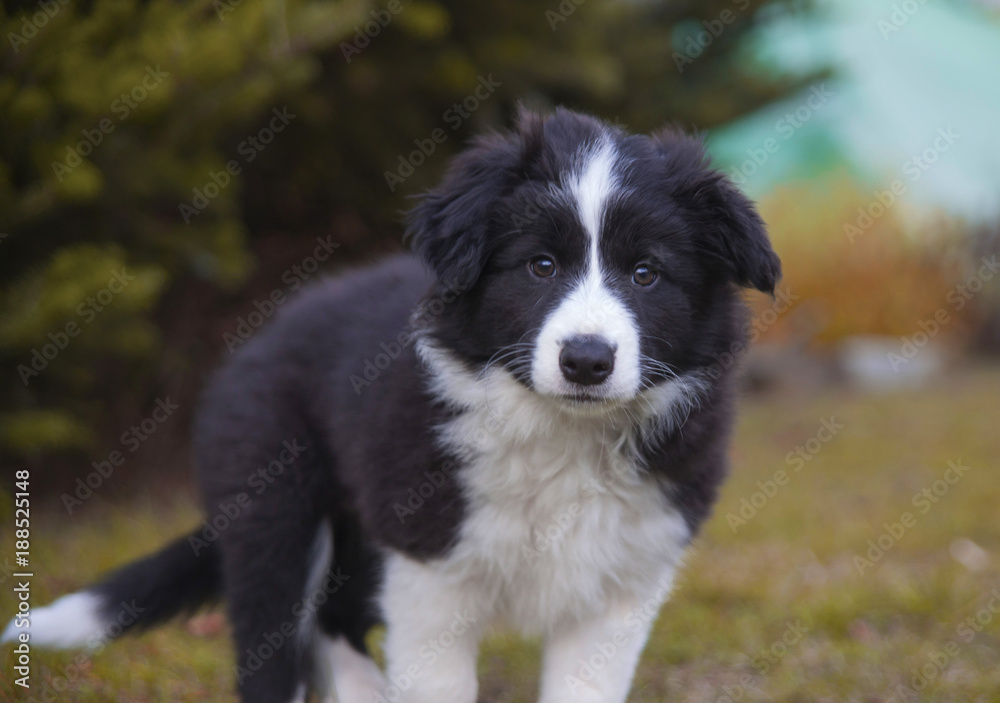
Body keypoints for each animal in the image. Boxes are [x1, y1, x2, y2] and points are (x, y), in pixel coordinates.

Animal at [1, 108, 780, 703]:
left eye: (646, 273)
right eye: (541, 265)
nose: (586, 360)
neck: (560, 433)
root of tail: (256, 339)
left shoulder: (624, 579)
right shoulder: (428, 569)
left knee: (332, 618)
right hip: (273, 504)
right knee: (277, 642)